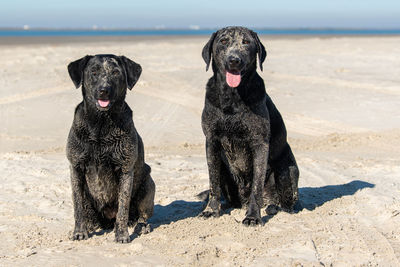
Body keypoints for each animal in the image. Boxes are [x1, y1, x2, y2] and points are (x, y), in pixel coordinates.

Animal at [67, 54, 155, 243]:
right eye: (93, 72)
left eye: (115, 72)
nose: (104, 90)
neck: (101, 125)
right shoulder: (75, 167)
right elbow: (77, 204)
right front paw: (79, 231)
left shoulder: (125, 169)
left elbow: (123, 207)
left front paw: (121, 234)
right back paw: (90, 226)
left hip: (148, 184)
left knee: (141, 215)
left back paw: (141, 226)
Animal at [200, 26, 300, 226]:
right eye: (223, 41)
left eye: (246, 42)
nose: (234, 60)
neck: (232, 98)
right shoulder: (211, 142)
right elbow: (213, 182)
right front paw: (211, 210)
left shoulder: (259, 144)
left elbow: (256, 186)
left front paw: (253, 216)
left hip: (287, 170)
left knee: (285, 202)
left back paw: (273, 207)